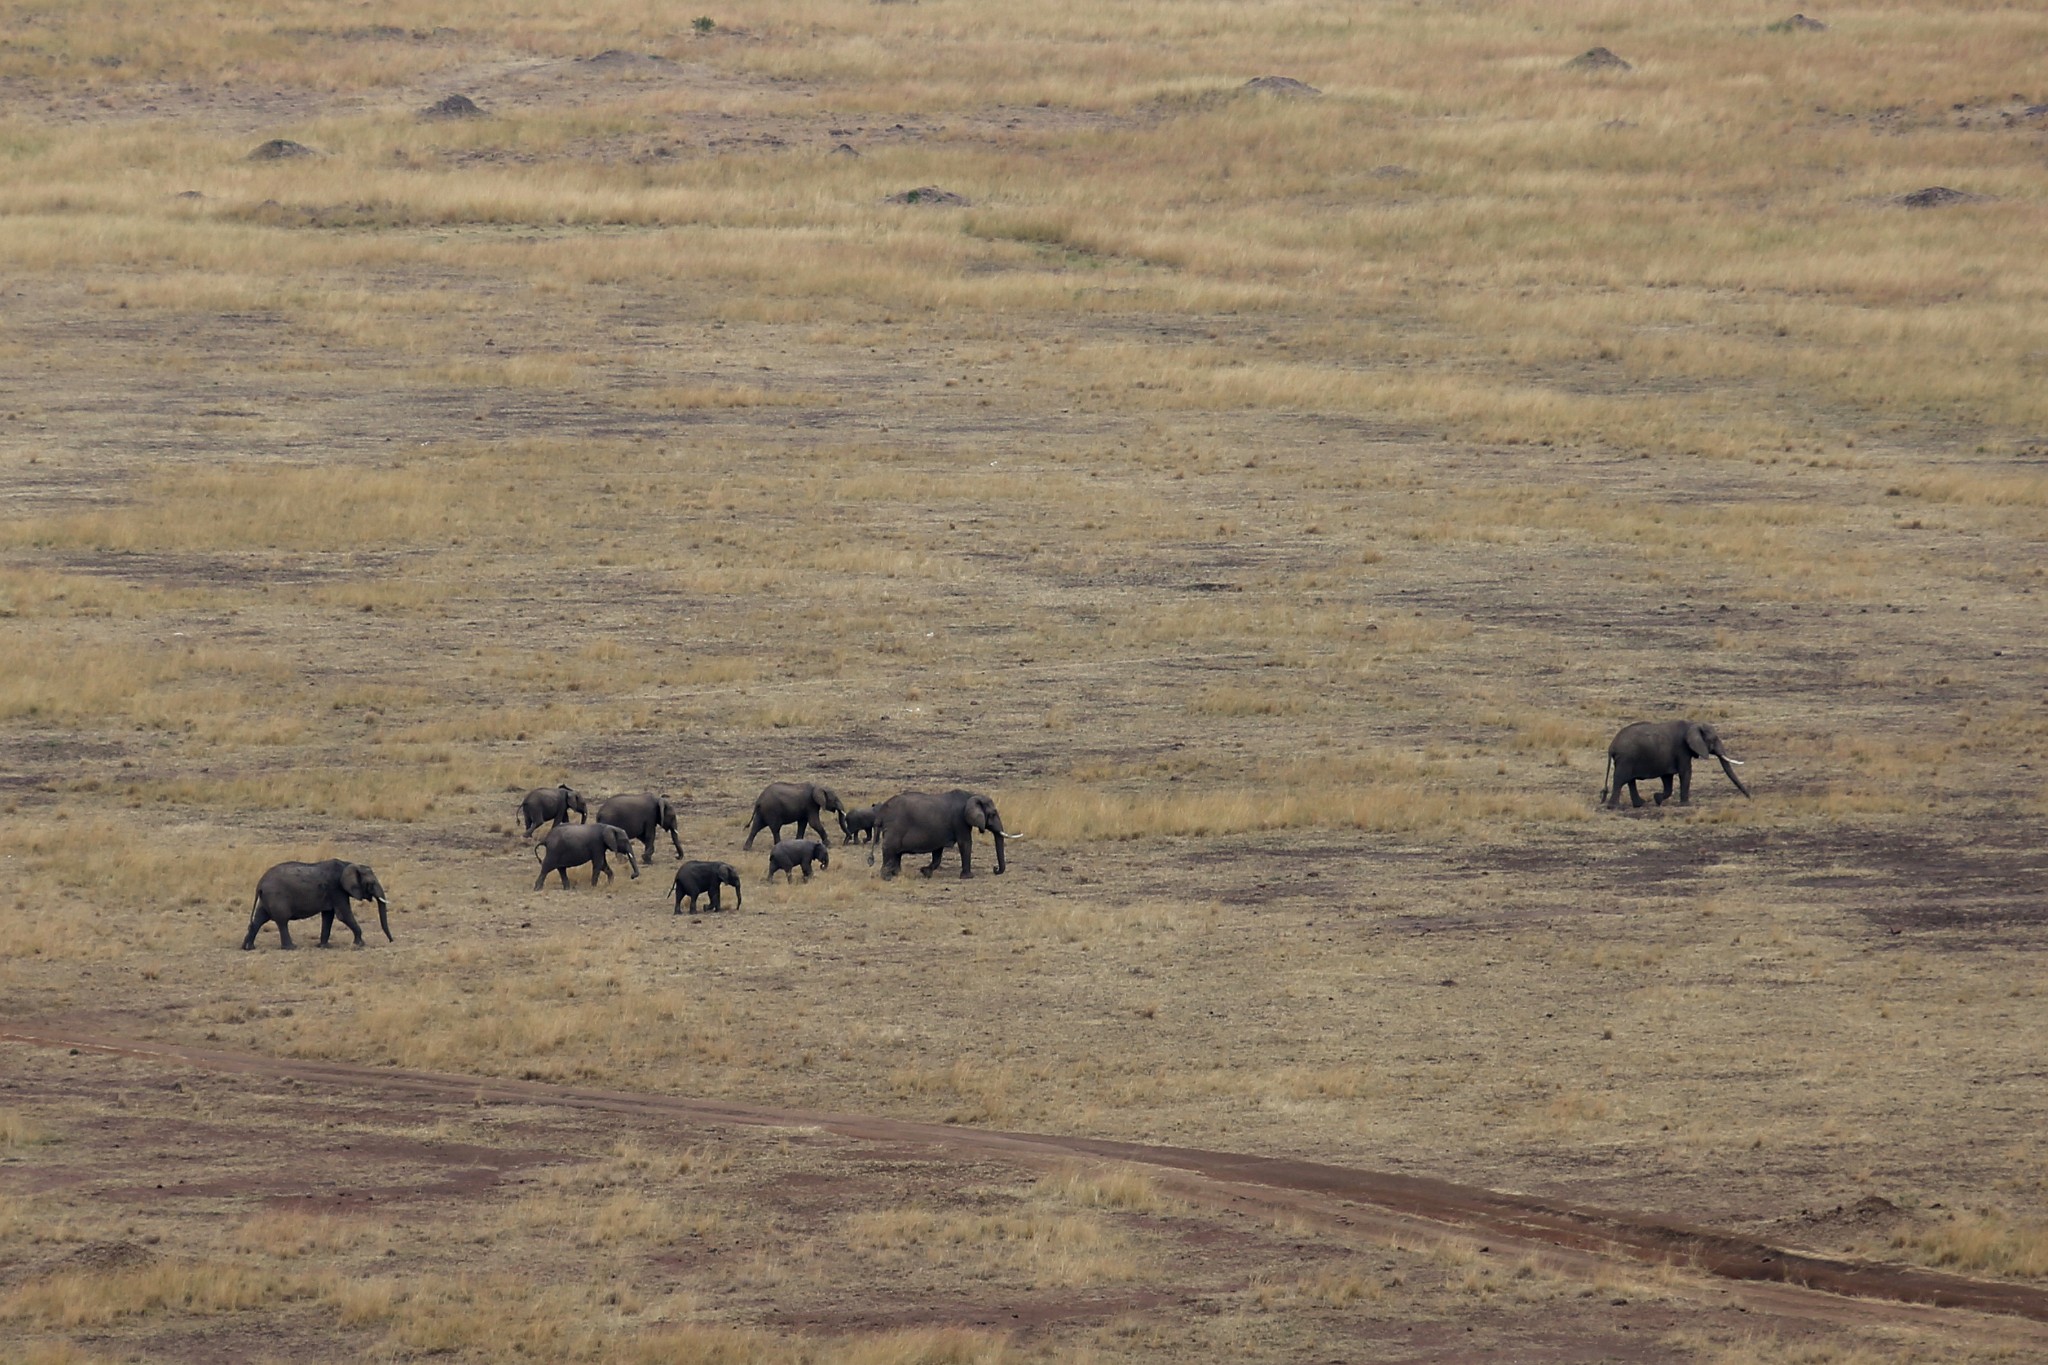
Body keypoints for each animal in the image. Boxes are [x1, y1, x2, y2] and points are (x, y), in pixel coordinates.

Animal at [241, 859, 389, 957]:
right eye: (371, 883)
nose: (391, 940)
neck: (348, 864)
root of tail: (260, 884)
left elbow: (328, 916)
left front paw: (324, 946)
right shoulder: (337, 889)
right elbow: (343, 915)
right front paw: (360, 944)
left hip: (266, 899)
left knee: (258, 920)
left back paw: (248, 948)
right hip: (276, 897)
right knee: (282, 921)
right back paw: (291, 948)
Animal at [872, 789, 1007, 888]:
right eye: (993, 814)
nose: (995, 868)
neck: (971, 795)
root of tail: (881, 813)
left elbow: (938, 851)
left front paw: (925, 872)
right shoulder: (960, 821)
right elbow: (965, 843)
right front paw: (968, 877)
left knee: (896, 853)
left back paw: (897, 874)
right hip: (895, 828)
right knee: (889, 849)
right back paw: (887, 878)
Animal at [1605, 716, 1753, 810]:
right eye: (1713, 739)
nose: (1750, 798)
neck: (1692, 724)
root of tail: (1612, 746)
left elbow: (1667, 779)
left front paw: (1657, 799)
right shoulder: (1682, 750)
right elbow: (1685, 772)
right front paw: (1686, 804)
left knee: (1630, 780)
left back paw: (1640, 804)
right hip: (1626, 759)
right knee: (1620, 780)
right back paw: (1614, 807)